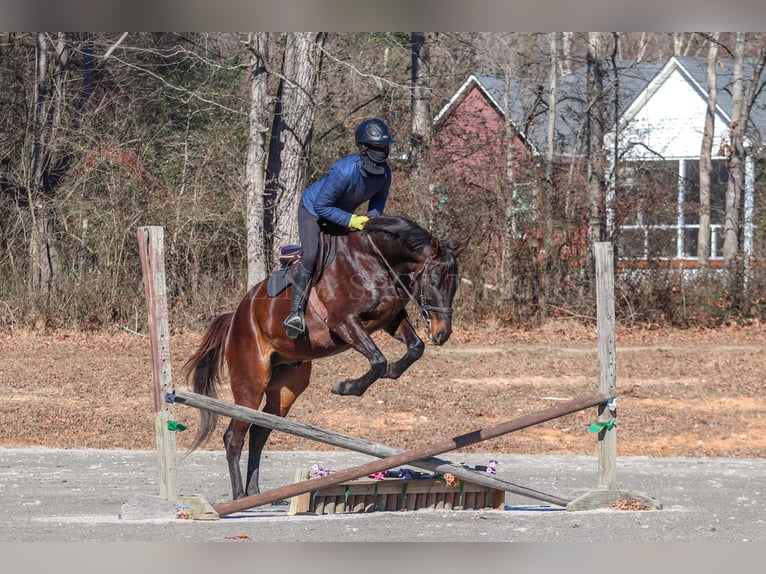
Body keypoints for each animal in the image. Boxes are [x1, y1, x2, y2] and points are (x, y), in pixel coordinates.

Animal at [183, 215, 468, 500]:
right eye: (433, 280)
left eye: (455, 284)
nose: (442, 334)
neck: (376, 260)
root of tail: (235, 318)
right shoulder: (344, 322)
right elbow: (378, 360)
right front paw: (345, 387)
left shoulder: (390, 319)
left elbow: (415, 348)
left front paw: (391, 372)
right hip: (250, 383)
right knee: (234, 436)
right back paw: (240, 495)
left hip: (286, 387)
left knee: (260, 430)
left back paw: (254, 491)